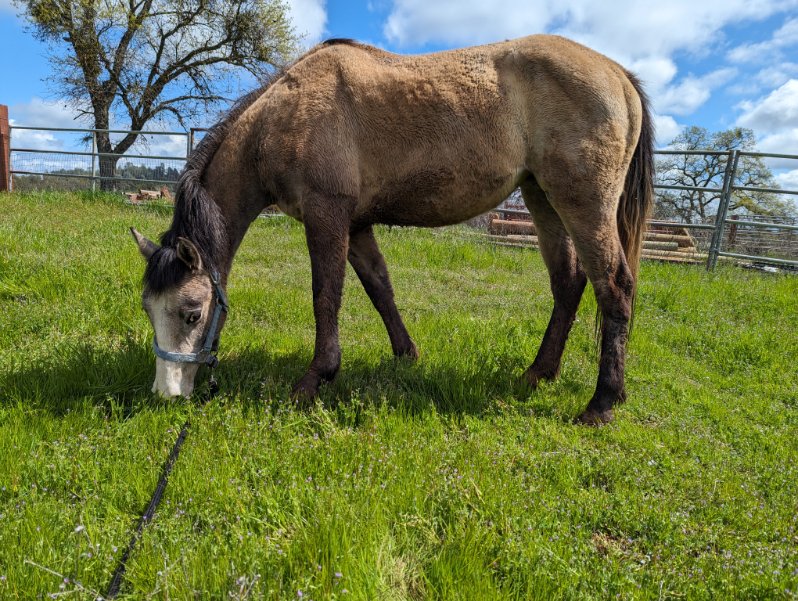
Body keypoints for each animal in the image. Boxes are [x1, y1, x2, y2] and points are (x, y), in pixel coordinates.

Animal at [131, 34, 654, 424]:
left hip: (583, 203)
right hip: (542, 200)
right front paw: (405, 355)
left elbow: (326, 295)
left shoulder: (327, 215)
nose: (166, 394)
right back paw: (538, 374)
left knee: (614, 287)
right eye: (148, 309)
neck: (285, 114)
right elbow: (380, 288)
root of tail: (617, 73)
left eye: (192, 313)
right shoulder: (357, 225)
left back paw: (602, 403)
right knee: (568, 283)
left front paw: (315, 379)